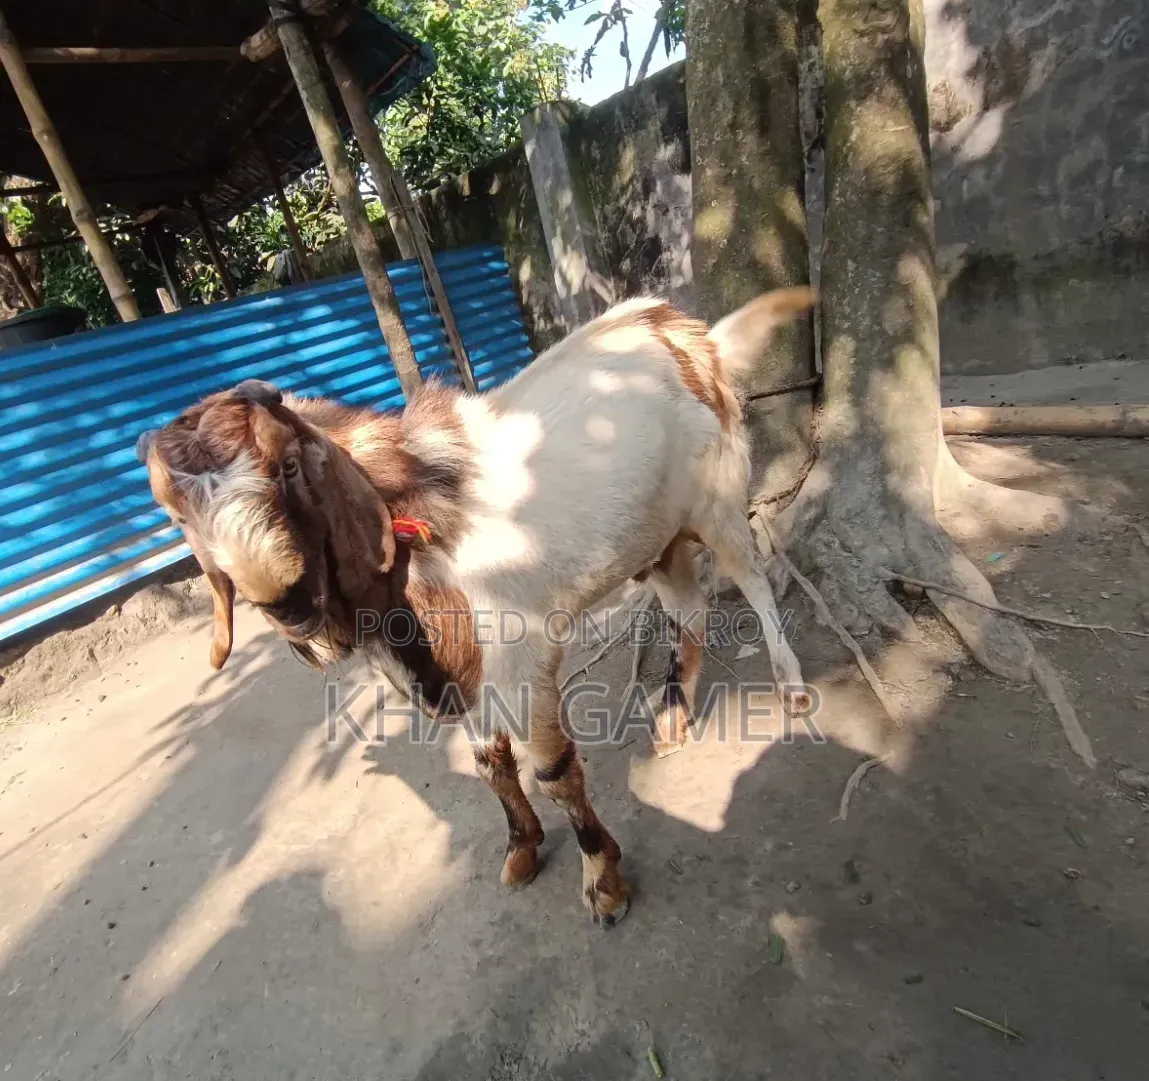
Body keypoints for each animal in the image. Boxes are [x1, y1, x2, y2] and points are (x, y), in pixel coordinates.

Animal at [136, 287, 814, 927]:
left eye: (288, 466)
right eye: (179, 518)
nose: (287, 605)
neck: (417, 523)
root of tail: (685, 331)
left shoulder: (520, 662)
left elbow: (552, 771)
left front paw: (603, 884)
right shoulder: (464, 674)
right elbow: (490, 763)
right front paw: (522, 849)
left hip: (716, 499)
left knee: (753, 582)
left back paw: (792, 690)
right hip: (657, 538)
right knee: (689, 607)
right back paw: (673, 719)